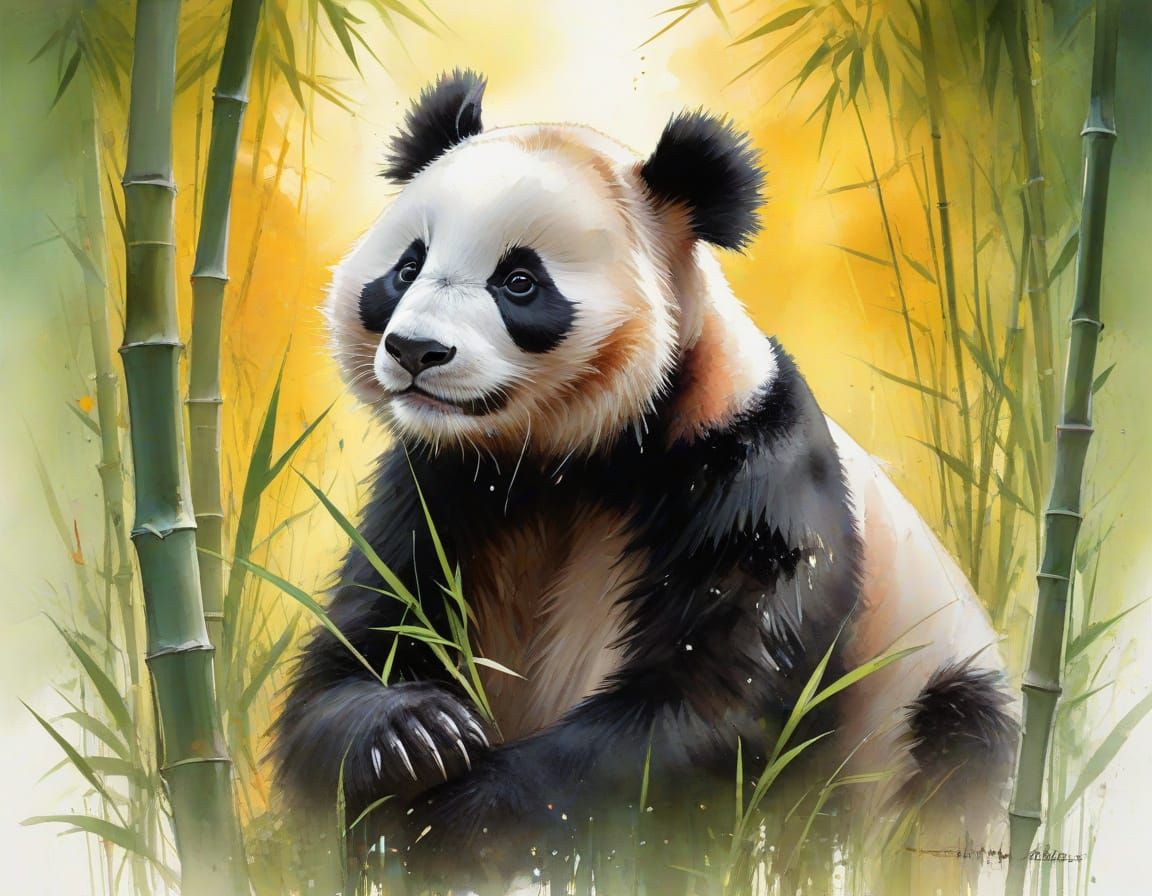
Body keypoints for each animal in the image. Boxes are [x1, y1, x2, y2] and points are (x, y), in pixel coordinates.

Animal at [274, 69, 1017, 889]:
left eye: (520, 282)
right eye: (407, 267)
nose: (415, 350)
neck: (569, 458)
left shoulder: (752, 468)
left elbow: (708, 704)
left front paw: (460, 815)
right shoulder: (440, 483)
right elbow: (362, 644)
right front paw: (413, 735)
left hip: (927, 709)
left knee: (954, 749)